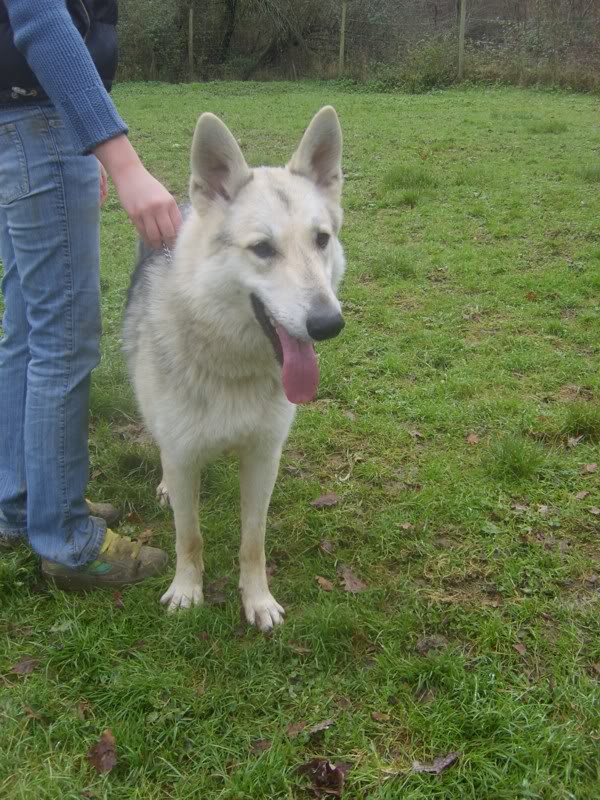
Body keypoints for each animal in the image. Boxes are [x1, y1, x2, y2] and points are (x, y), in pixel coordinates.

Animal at [122, 106, 346, 632]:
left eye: (321, 240)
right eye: (263, 249)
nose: (328, 324)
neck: (231, 364)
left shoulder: (264, 458)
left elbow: (253, 542)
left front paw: (257, 600)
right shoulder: (183, 455)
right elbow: (189, 537)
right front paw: (187, 591)